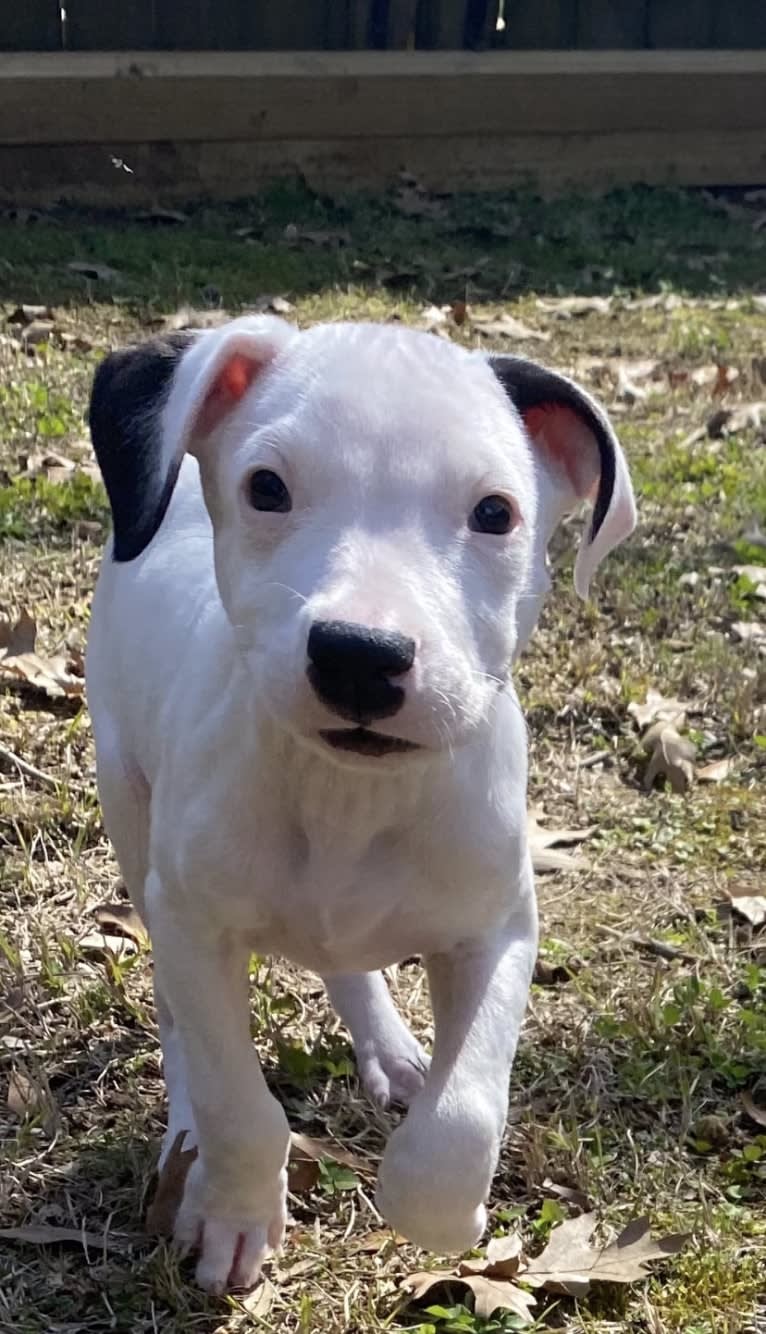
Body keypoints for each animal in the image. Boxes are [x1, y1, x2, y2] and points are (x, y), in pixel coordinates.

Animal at [86, 314, 635, 1291]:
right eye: (267, 488)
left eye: (495, 512)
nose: (359, 655)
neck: (349, 797)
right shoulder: (193, 920)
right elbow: (235, 1097)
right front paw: (234, 1213)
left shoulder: (498, 929)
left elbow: (465, 1113)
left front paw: (436, 1211)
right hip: (130, 811)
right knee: (180, 1025)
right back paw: (187, 1137)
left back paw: (390, 1049)